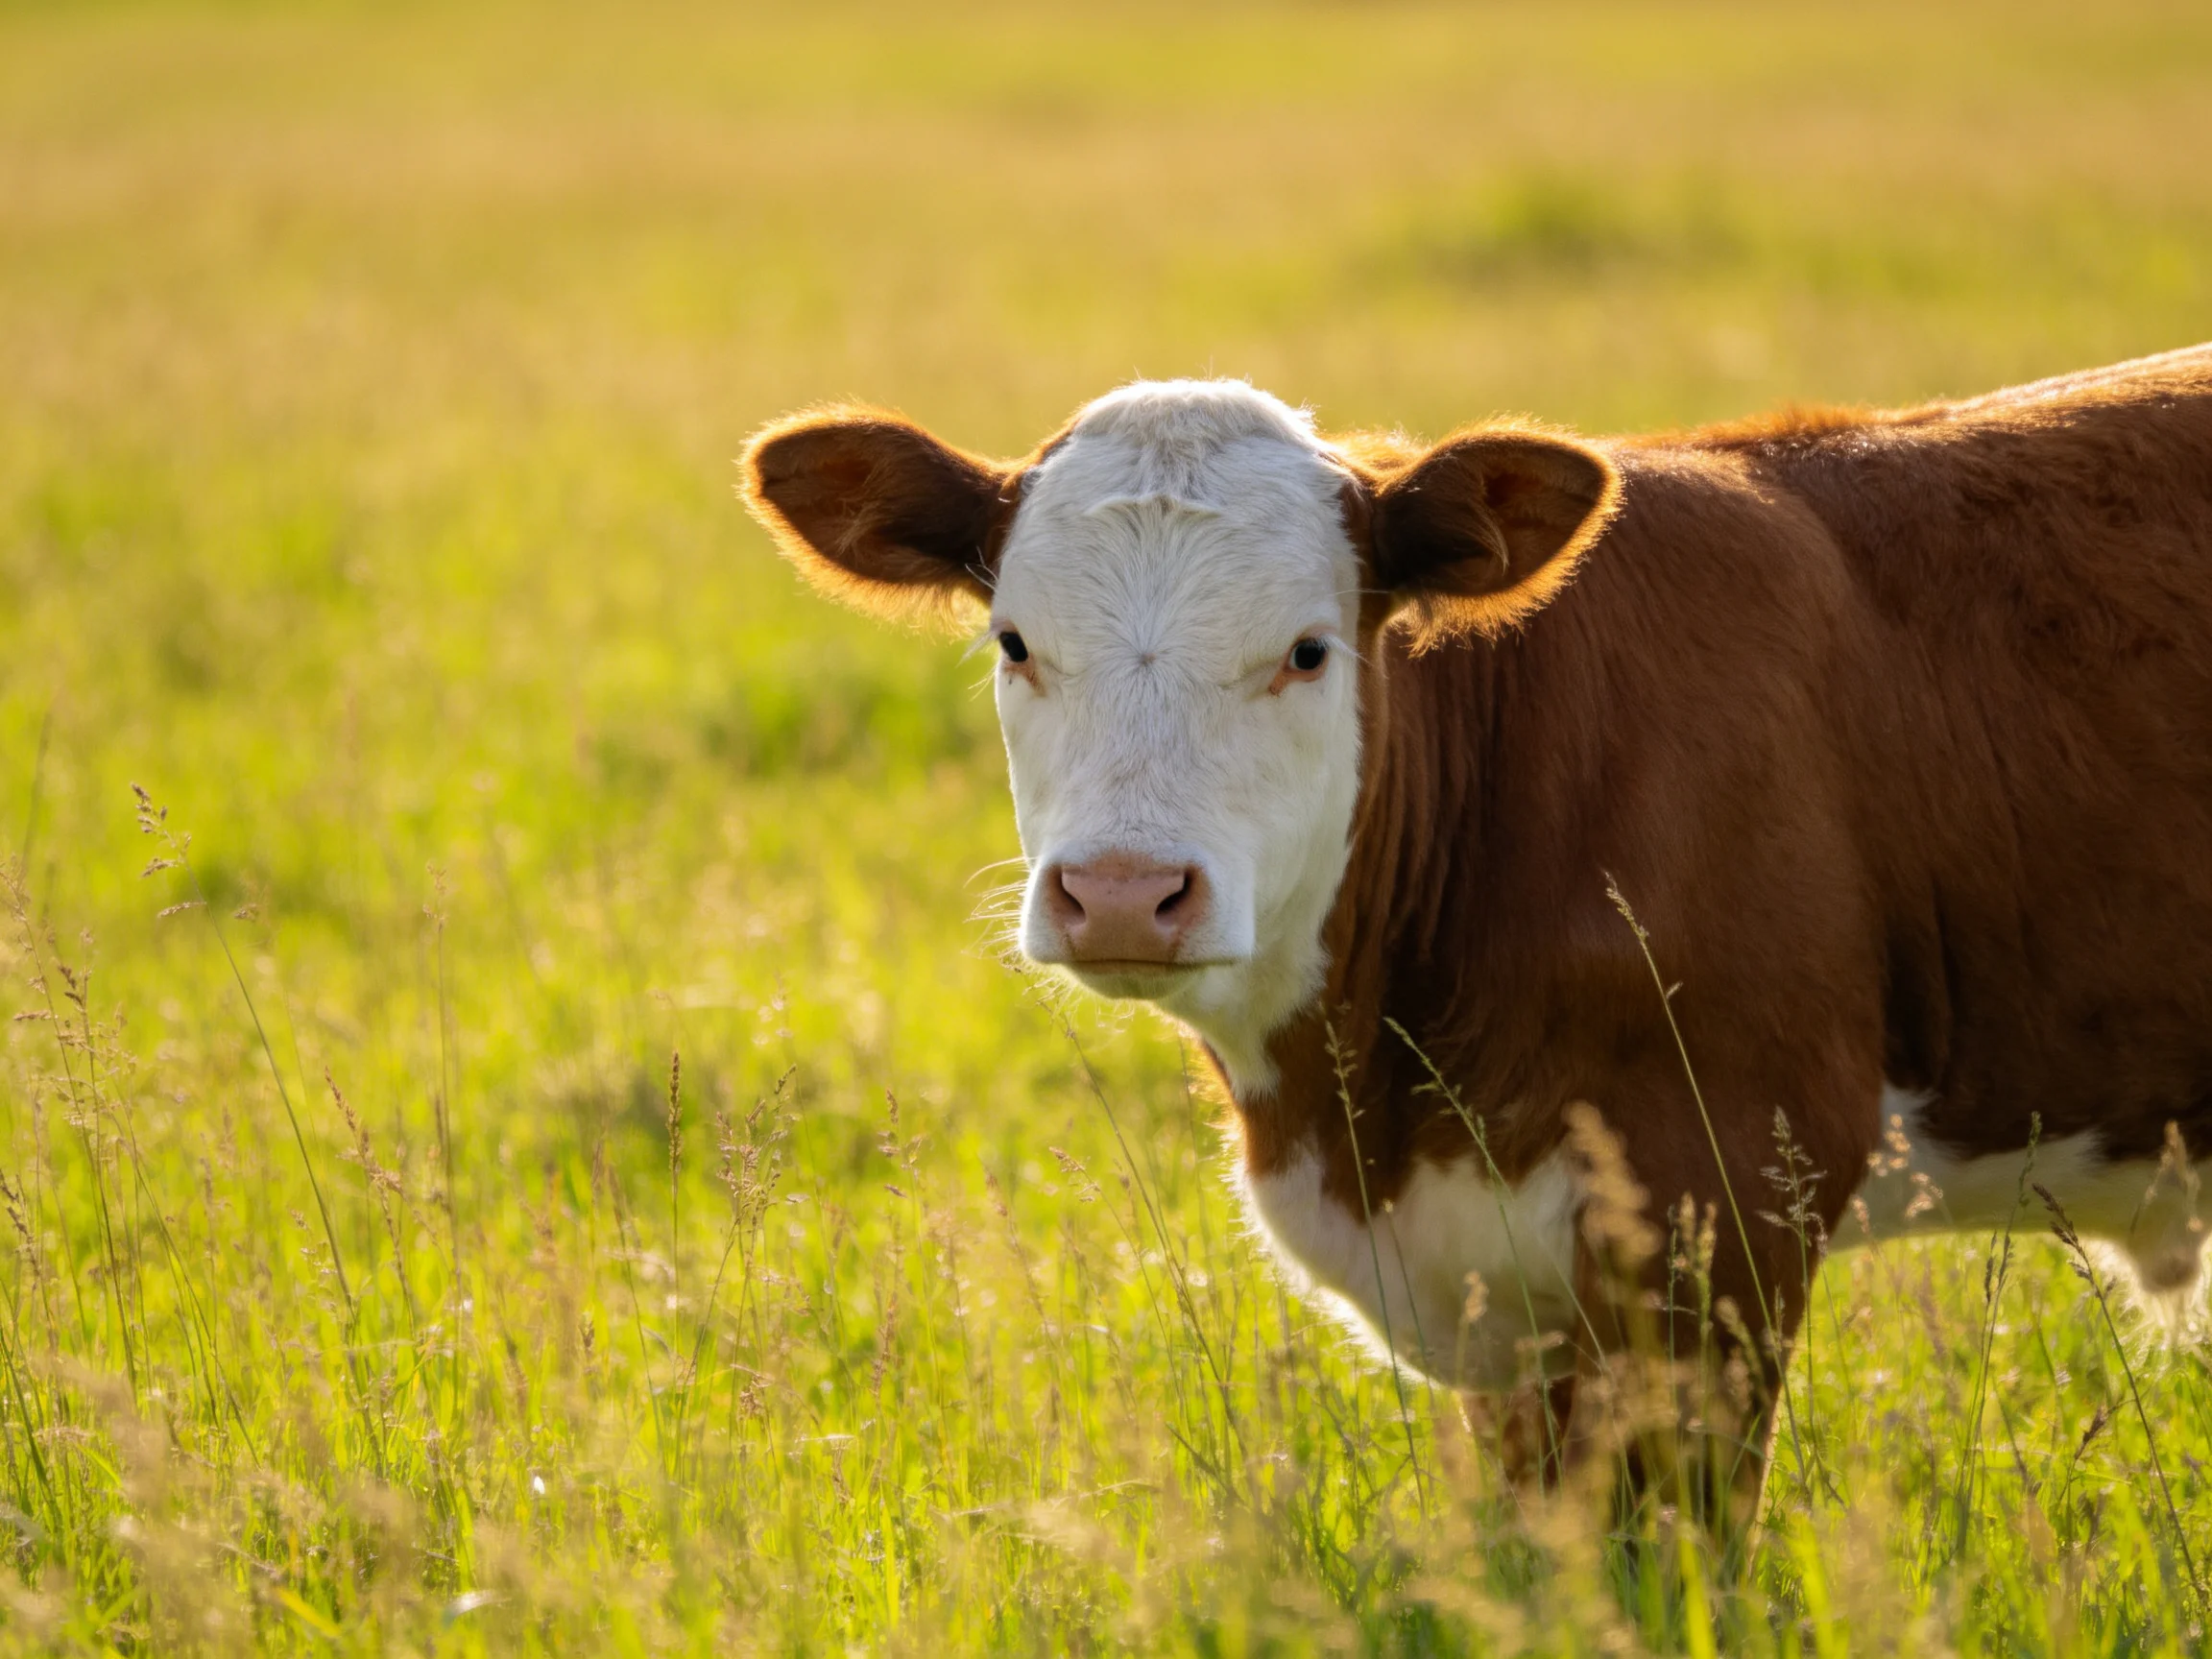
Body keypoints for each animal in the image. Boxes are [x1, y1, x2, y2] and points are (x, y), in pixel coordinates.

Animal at [740, 345, 2212, 1510]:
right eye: (1013, 642)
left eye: (1310, 650)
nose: (1119, 891)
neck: (1369, 1120)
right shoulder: (1508, 1307)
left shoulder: (1726, 1202)